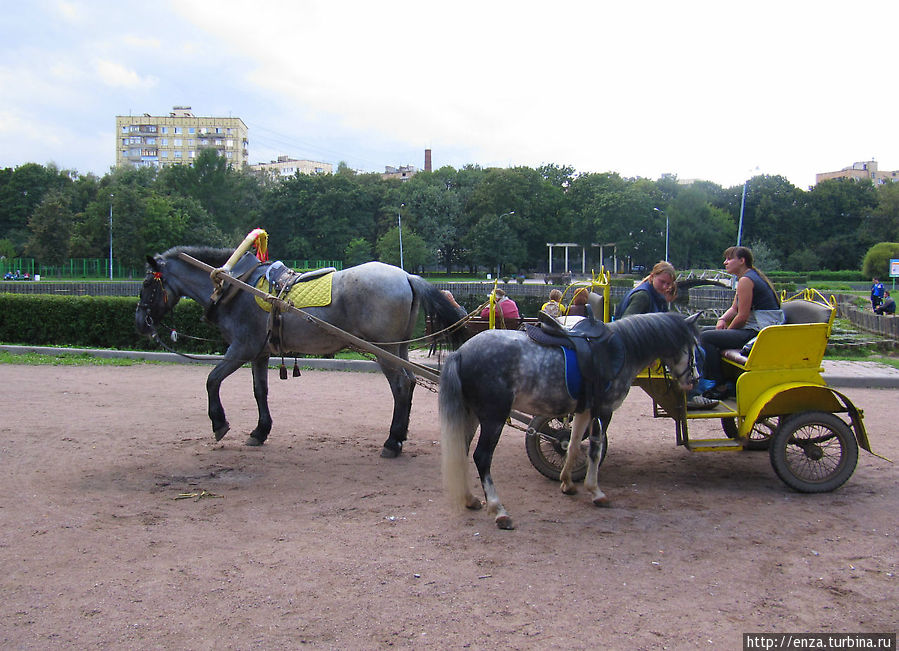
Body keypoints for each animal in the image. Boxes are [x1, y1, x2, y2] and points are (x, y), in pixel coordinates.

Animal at [137, 246, 468, 458]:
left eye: (147, 285)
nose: (140, 323)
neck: (236, 286)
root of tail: (406, 276)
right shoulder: (259, 353)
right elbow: (259, 391)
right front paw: (260, 431)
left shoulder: (241, 348)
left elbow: (212, 380)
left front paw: (219, 424)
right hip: (397, 347)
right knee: (410, 382)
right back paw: (399, 436)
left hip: (383, 351)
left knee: (400, 386)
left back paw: (392, 441)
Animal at [442, 310, 704, 528]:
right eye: (694, 347)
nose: (695, 379)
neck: (622, 349)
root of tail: (461, 352)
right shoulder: (604, 410)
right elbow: (595, 451)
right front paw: (596, 491)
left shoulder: (584, 411)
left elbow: (573, 444)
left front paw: (567, 483)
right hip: (493, 417)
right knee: (482, 457)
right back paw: (499, 511)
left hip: (473, 415)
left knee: (462, 451)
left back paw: (470, 499)